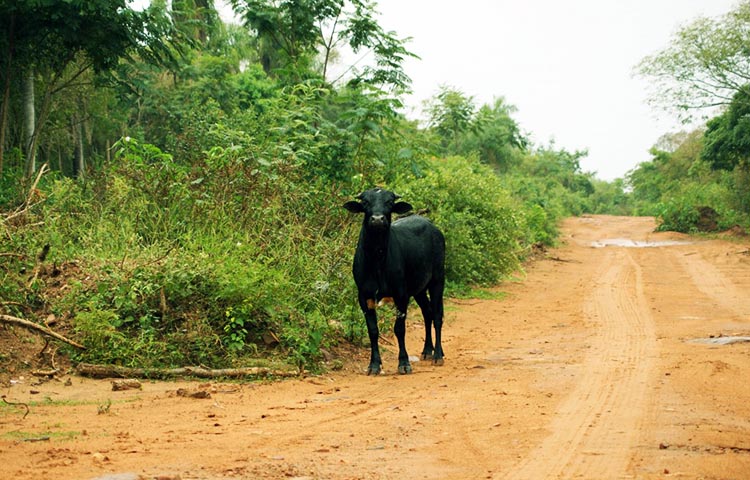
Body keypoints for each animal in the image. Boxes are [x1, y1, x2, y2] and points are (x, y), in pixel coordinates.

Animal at [346, 188, 446, 376]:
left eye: (389, 202)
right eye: (365, 202)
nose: (377, 219)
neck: (377, 260)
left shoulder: (401, 294)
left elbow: (399, 329)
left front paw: (404, 363)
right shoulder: (364, 296)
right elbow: (373, 331)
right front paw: (374, 365)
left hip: (438, 279)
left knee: (437, 315)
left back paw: (438, 354)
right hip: (419, 289)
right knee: (427, 312)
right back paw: (427, 351)